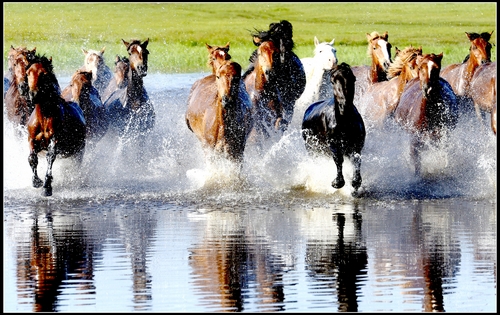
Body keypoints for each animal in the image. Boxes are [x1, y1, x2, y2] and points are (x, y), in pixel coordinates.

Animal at [25, 55, 86, 196]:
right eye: (28, 73)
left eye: (44, 74)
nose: (33, 95)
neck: (44, 117)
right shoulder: (32, 139)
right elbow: (32, 158)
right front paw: (37, 182)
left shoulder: (55, 139)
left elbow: (50, 156)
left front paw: (47, 186)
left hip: (78, 151)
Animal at [300, 62, 368, 195]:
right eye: (332, 81)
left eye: (352, 78)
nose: (343, 105)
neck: (344, 122)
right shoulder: (333, 145)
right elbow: (338, 160)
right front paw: (337, 182)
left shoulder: (357, 145)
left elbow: (356, 160)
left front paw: (355, 184)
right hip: (312, 149)